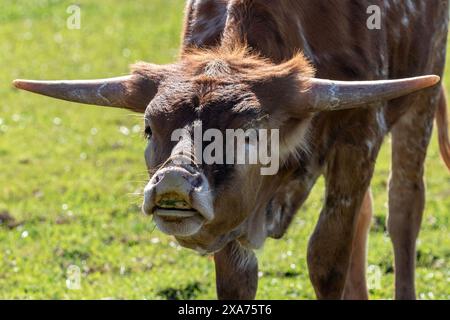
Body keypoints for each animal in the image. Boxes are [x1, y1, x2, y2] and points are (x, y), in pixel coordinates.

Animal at [14, 0, 450, 300]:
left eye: (249, 133)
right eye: (148, 127)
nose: (174, 182)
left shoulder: (360, 137)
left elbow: (326, 258)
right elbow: (236, 279)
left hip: (422, 99)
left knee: (404, 206)